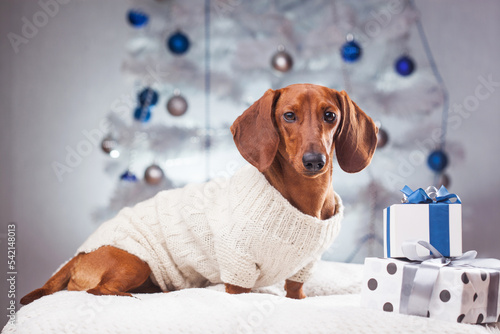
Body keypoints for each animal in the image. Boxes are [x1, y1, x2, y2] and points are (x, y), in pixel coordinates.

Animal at [21, 83, 376, 306]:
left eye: (330, 115)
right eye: (289, 115)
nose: (315, 160)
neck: (303, 203)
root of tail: (76, 257)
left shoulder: (303, 272)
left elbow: (297, 295)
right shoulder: (237, 270)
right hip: (134, 262)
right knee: (97, 291)